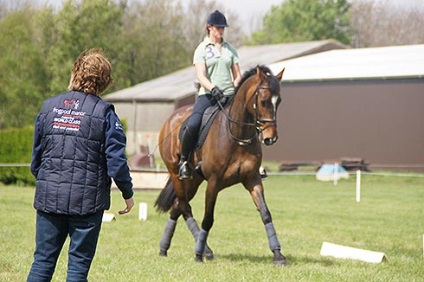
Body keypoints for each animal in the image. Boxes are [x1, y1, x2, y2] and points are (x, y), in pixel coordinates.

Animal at [154, 65, 286, 266]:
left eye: (278, 101)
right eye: (263, 101)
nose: (271, 138)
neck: (238, 135)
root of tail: (171, 119)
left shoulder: (252, 179)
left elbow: (265, 213)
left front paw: (278, 255)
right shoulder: (213, 183)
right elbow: (208, 219)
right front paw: (198, 255)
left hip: (193, 180)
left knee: (177, 206)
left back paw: (165, 248)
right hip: (176, 173)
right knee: (184, 206)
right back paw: (202, 251)